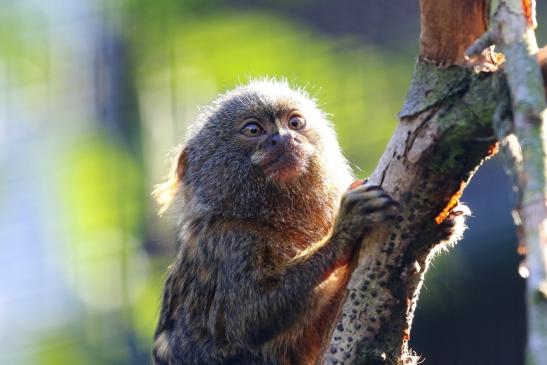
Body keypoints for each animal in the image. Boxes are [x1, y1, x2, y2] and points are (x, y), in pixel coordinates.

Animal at [153, 80, 398, 364]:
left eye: (295, 123)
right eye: (253, 130)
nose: (283, 138)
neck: (266, 217)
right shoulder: (230, 243)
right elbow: (248, 319)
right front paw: (345, 230)